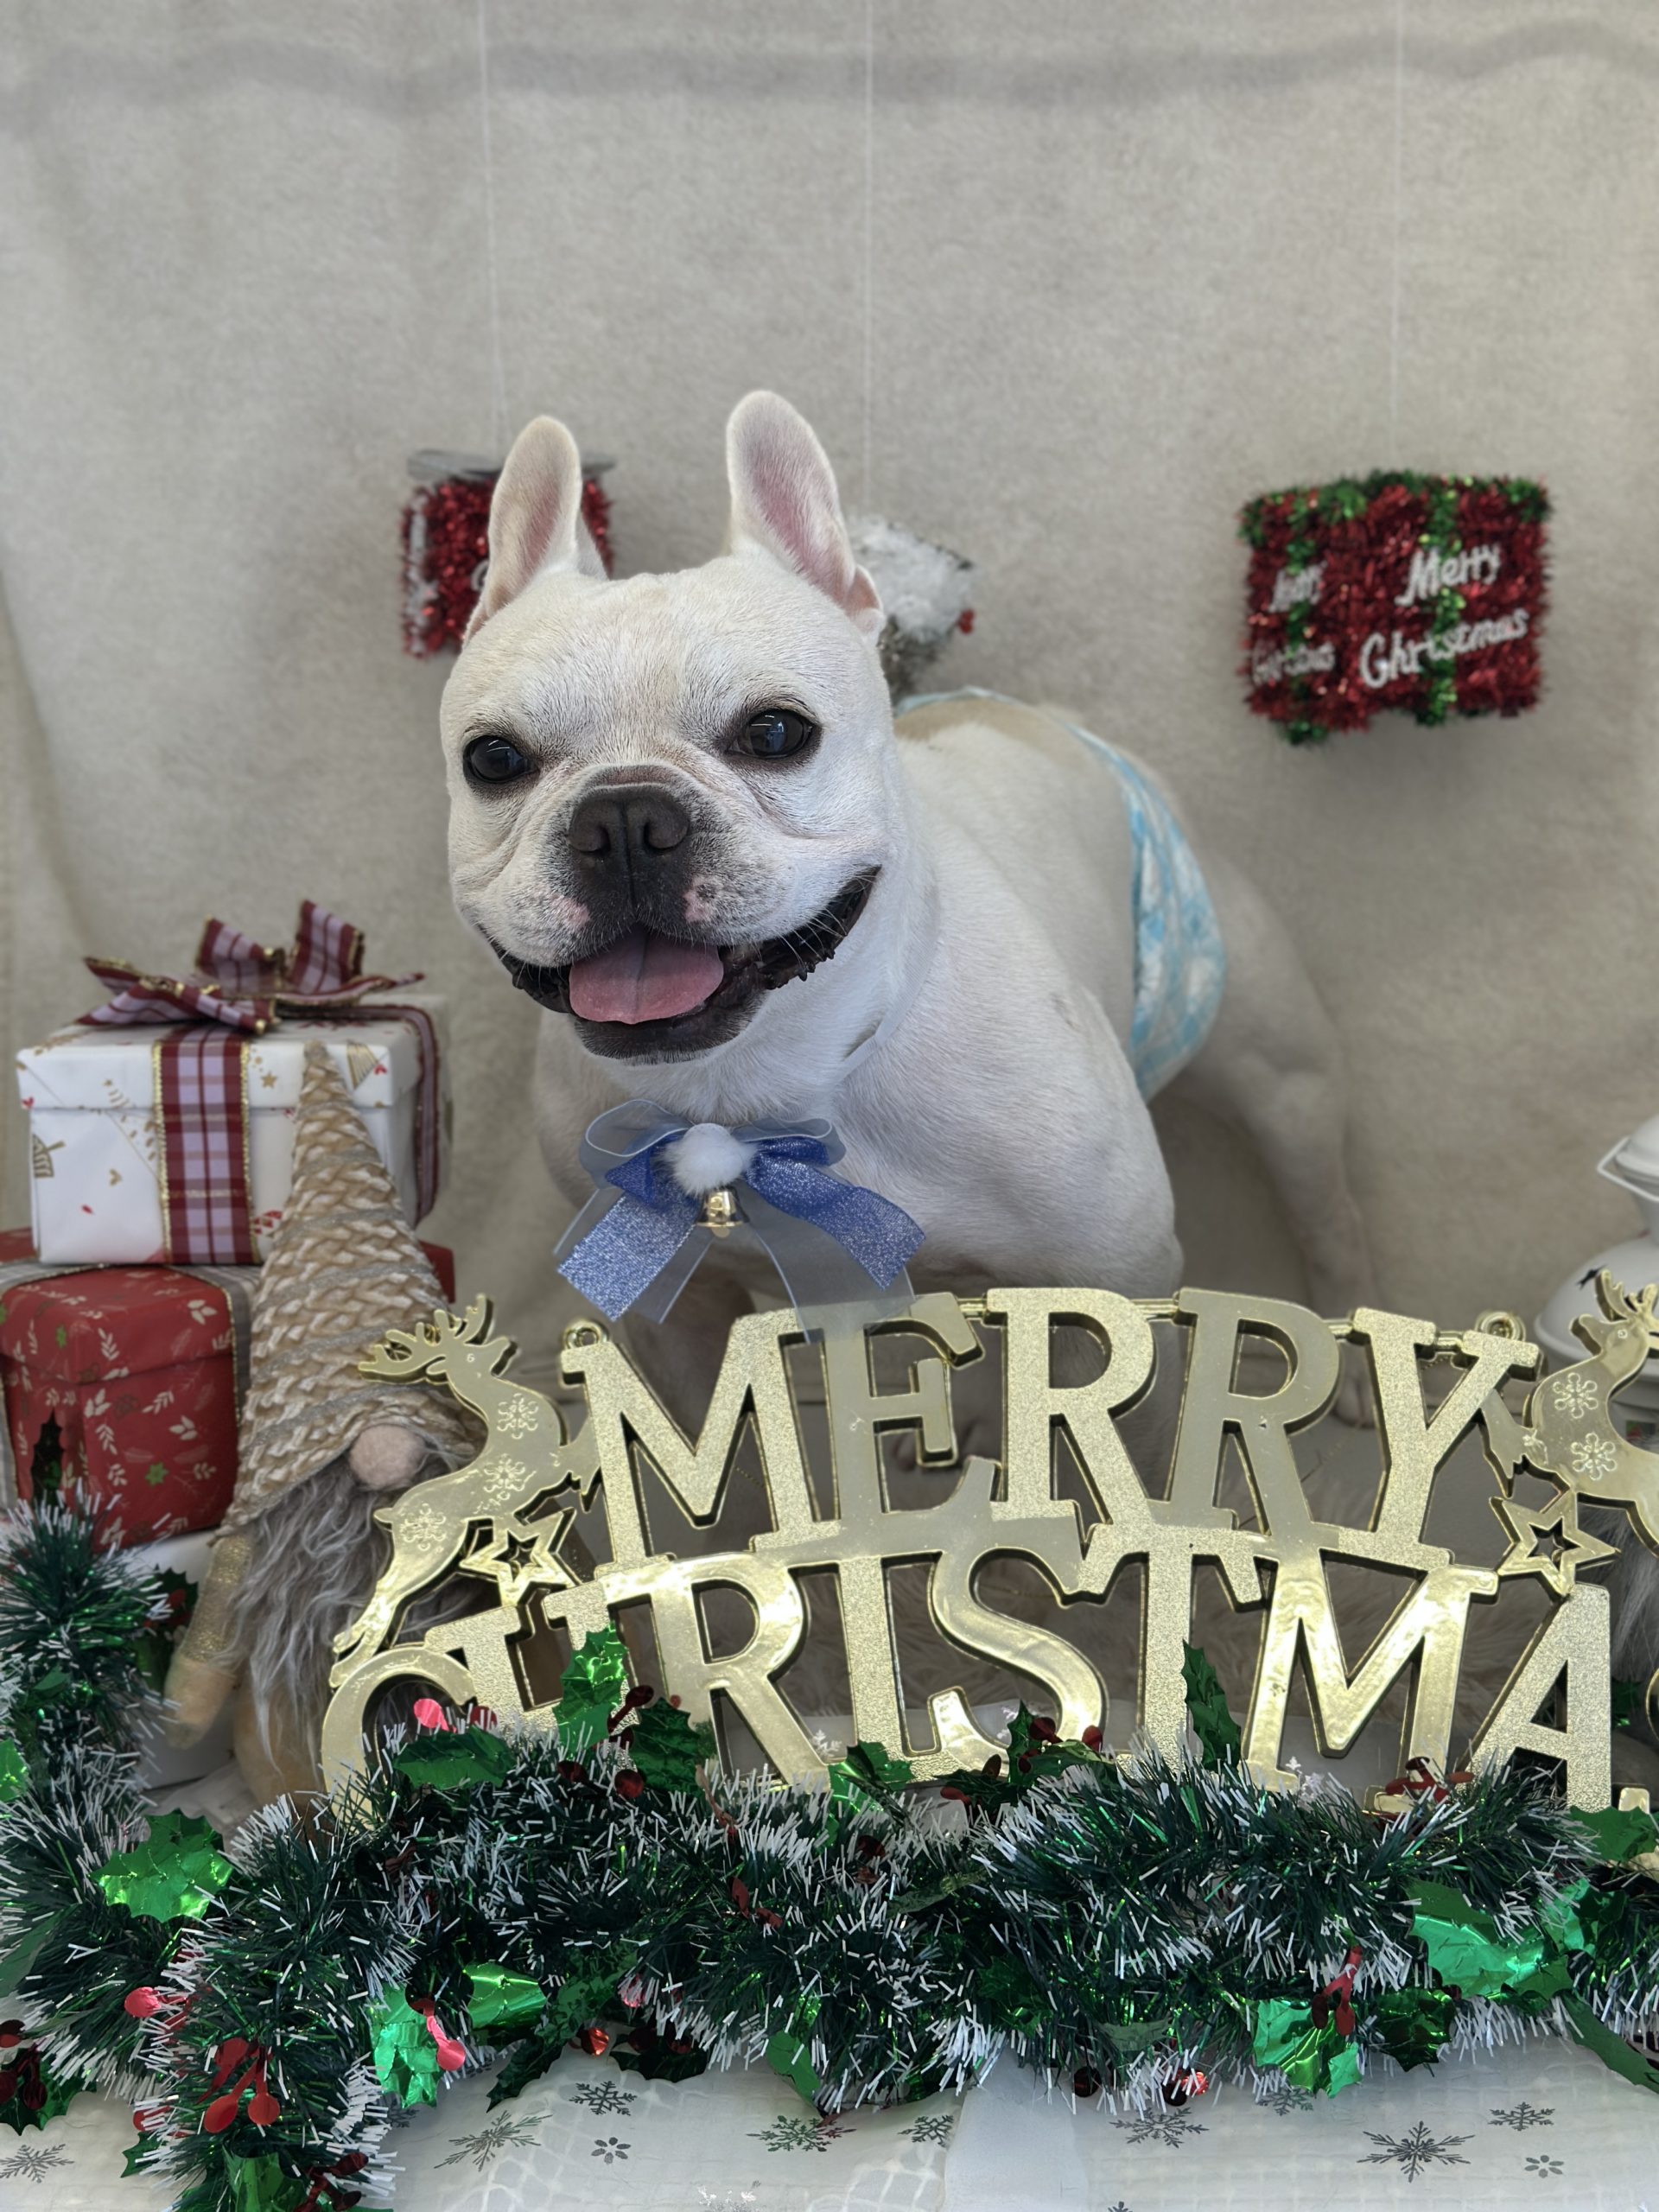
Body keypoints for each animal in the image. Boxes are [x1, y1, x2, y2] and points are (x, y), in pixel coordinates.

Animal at [438, 392, 1375, 1439]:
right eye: (493, 759)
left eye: (775, 732)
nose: (625, 818)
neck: (766, 1086)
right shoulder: (674, 1316)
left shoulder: (1113, 1281)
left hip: (1283, 1079)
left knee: (1327, 1207)